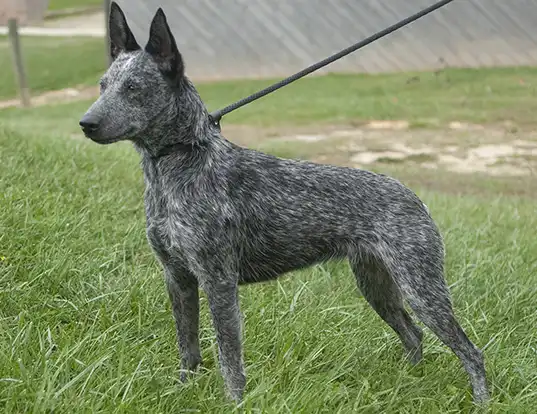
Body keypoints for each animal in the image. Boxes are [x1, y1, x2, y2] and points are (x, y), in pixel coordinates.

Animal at [80, 2, 490, 404]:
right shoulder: (178, 279)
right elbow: (189, 350)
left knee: (470, 351)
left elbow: (230, 360)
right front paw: (182, 392)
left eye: (134, 88)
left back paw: (481, 400)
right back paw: (409, 381)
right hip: (378, 287)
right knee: (413, 334)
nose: (86, 123)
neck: (183, 162)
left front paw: (235, 404)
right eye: (103, 85)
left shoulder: (218, 281)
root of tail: (412, 195)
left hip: (421, 290)